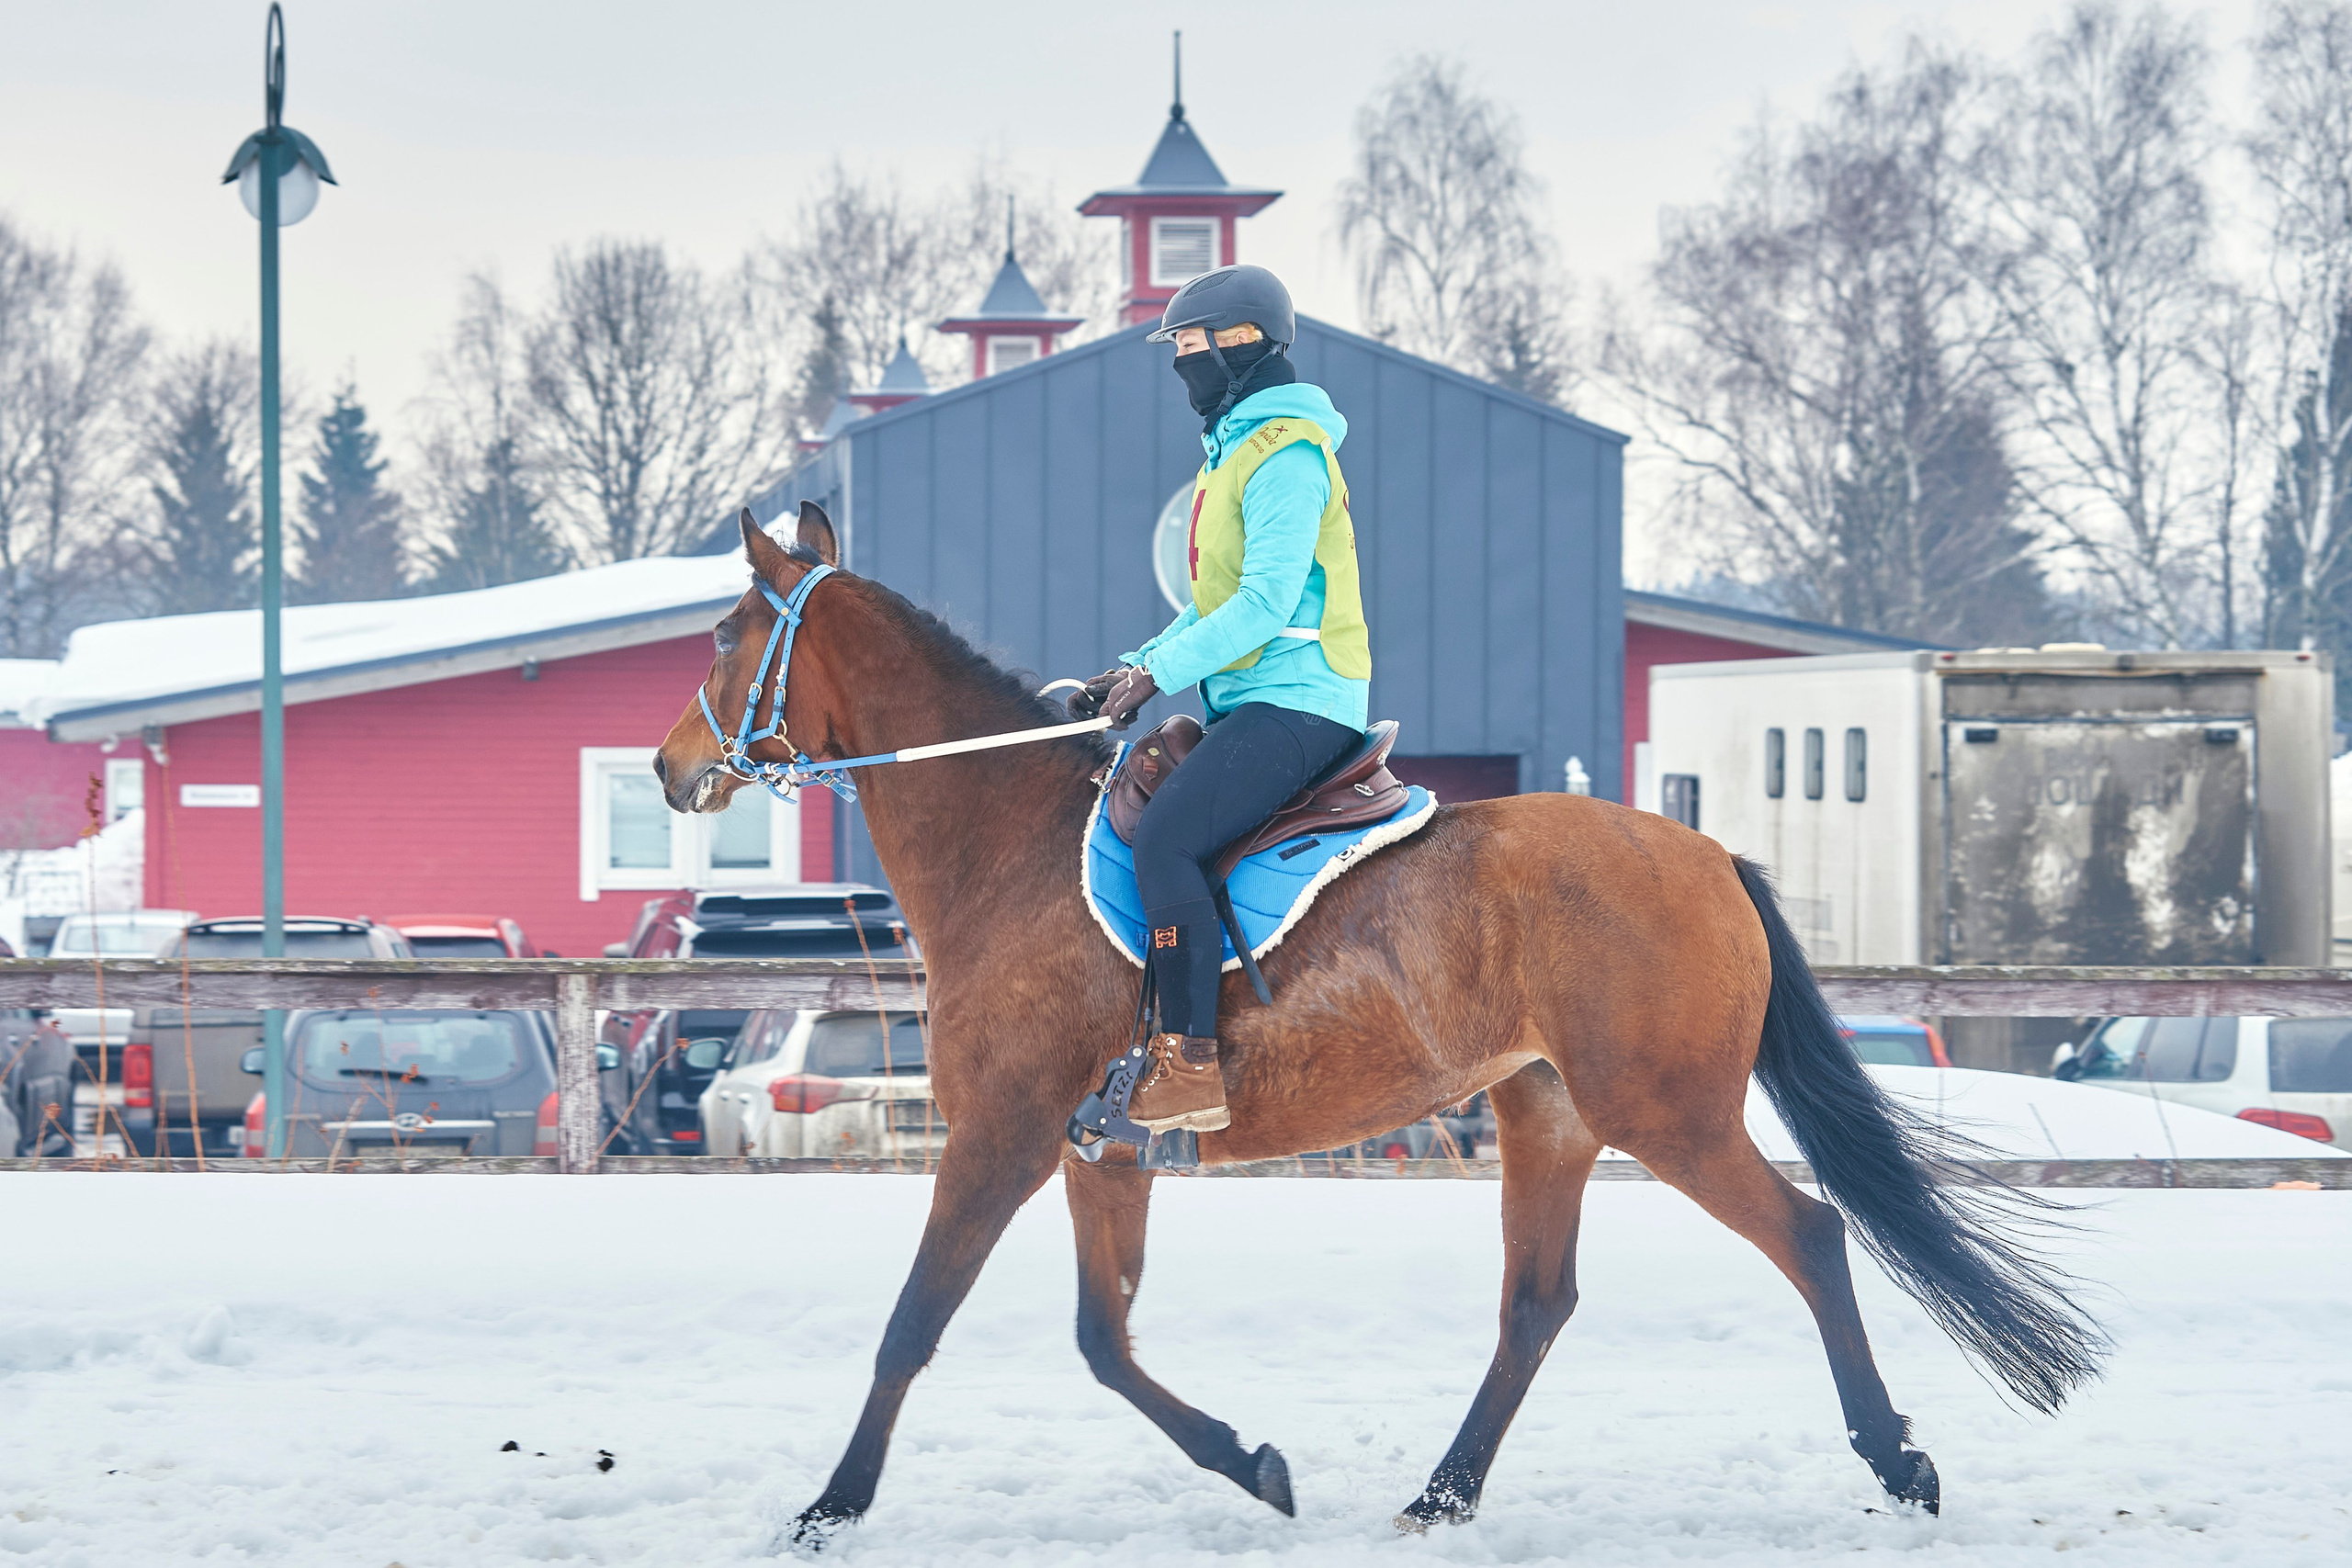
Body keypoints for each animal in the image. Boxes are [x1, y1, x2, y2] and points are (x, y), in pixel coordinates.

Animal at [655, 505, 2105, 1548]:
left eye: (727, 631)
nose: (672, 768)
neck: (1009, 843)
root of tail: (1706, 854)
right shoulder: (1097, 1150)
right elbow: (1101, 1340)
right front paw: (1253, 1463)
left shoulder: (1001, 1136)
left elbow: (915, 1323)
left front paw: (829, 1506)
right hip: (1547, 1109)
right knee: (1537, 1300)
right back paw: (1441, 1493)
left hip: (1667, 1112)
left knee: (1807, 1236)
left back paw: (1898, 1459)